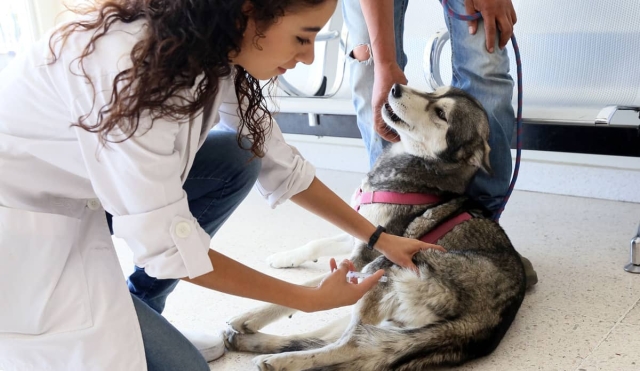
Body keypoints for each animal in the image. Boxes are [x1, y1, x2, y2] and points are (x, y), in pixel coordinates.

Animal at [224, 85, 524, 371]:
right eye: (434, 90)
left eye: (441, 113)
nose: (395, 88)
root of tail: (483, 325)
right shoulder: (362, 232)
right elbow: (316, 245)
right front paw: (283, 258)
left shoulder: (366, 255)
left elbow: (311, 285)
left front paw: (251, 315)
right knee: (326, 340)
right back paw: (249, 343)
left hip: (385, 270)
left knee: (350, 345)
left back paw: (278, 361)